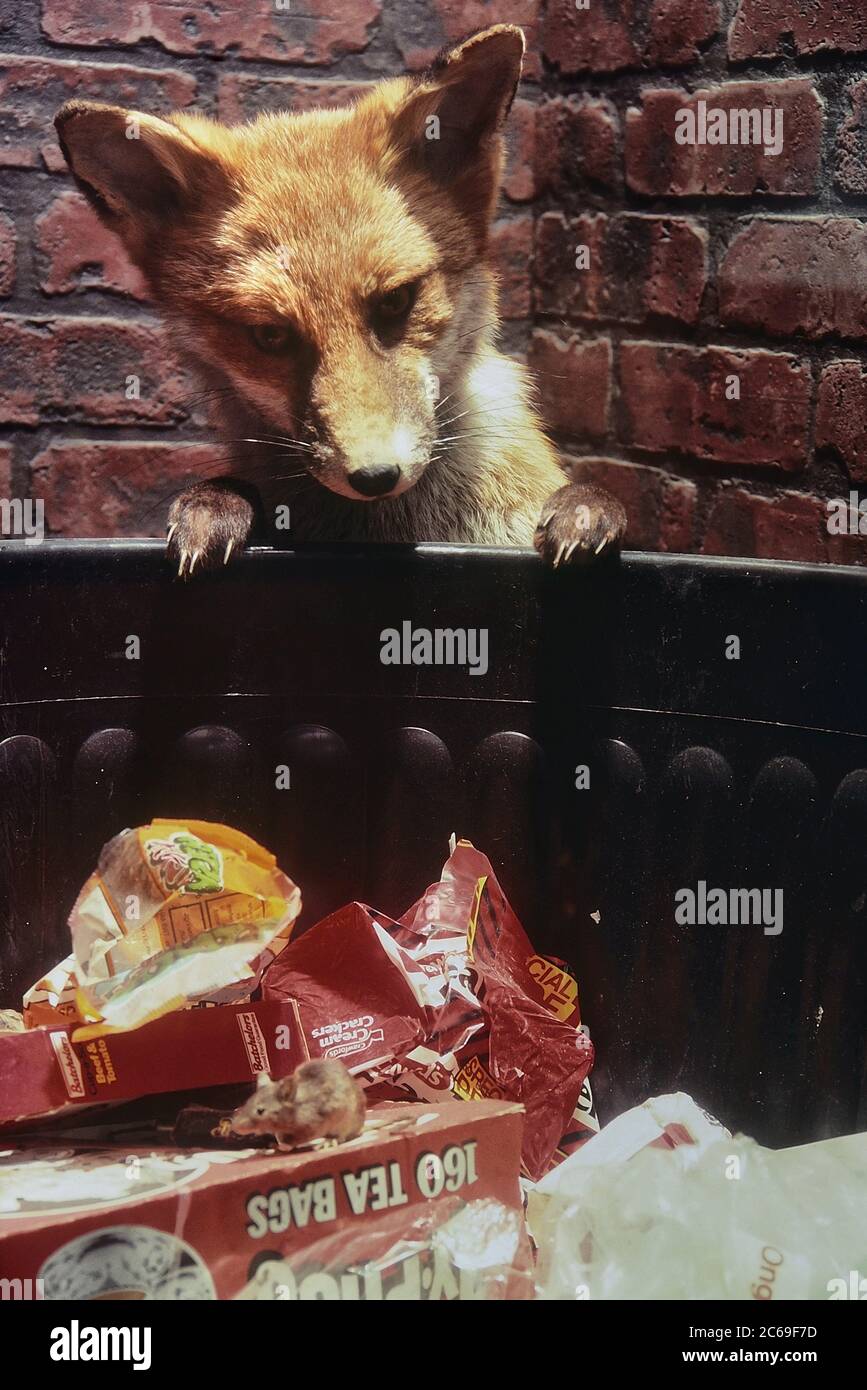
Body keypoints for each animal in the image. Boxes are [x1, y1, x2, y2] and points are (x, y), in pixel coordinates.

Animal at [54, 25, 622, 575]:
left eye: (396, 300)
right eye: (269, 334)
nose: (375, 476)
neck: (390, 529)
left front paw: (586, 506)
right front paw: (218, 503)